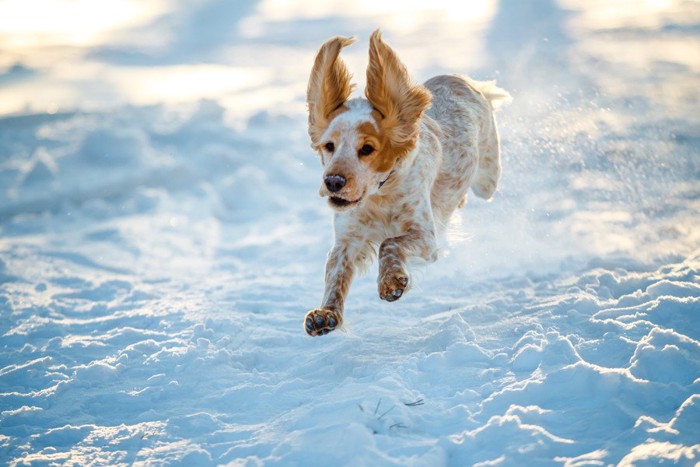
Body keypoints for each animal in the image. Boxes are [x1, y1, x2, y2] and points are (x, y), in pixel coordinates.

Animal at [304, 30, 512, 336]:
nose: (333, 181)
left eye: (367, 148)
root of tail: (461, 79)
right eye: (329, 146)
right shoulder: (347, 239)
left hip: (487, 181)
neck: (380, 194)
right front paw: (325, 315)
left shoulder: (425, 236)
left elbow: (389, 243)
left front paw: (392, 281)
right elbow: (335, 273)